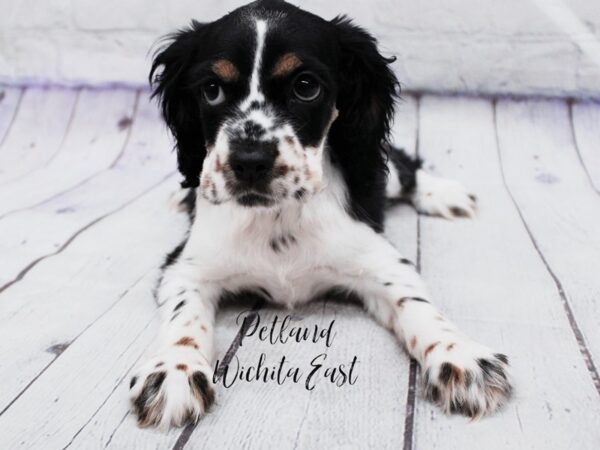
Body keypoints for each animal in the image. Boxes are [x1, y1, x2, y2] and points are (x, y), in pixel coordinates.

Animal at [130, 0, 510, 428]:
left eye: (305, 86)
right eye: (211, 90)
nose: (250, 162)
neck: (278, 217)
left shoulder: (382, 261)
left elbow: (417, 305)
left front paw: (460, 356)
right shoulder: (185, 267)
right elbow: (184, 316)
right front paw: (173, 370)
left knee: (405, 166)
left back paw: (443, 194)